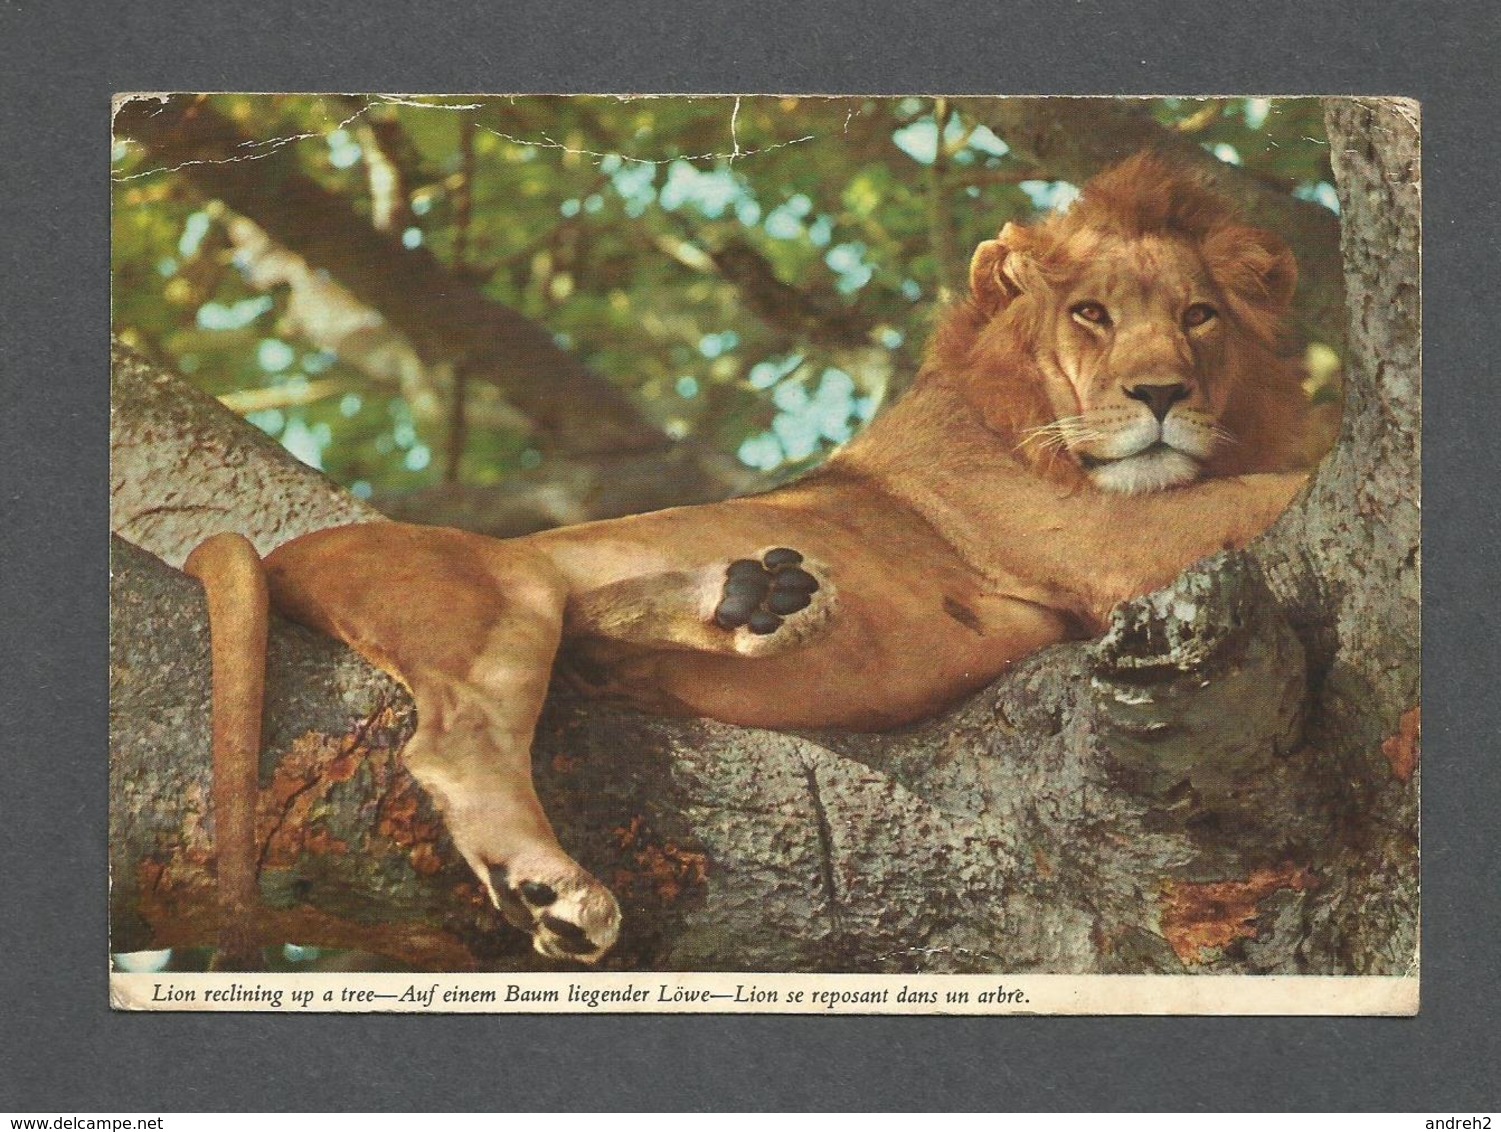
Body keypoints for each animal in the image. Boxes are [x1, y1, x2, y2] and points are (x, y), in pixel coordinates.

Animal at [184, 150, 1326, 960]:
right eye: (1090, 315)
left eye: (1199, 317)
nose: (1162, 395)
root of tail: (291, 550)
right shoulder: (1091, 536)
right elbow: (1284, 480)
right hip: (495, 595)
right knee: (458, 739)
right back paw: (555, 889)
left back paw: (758, 597)